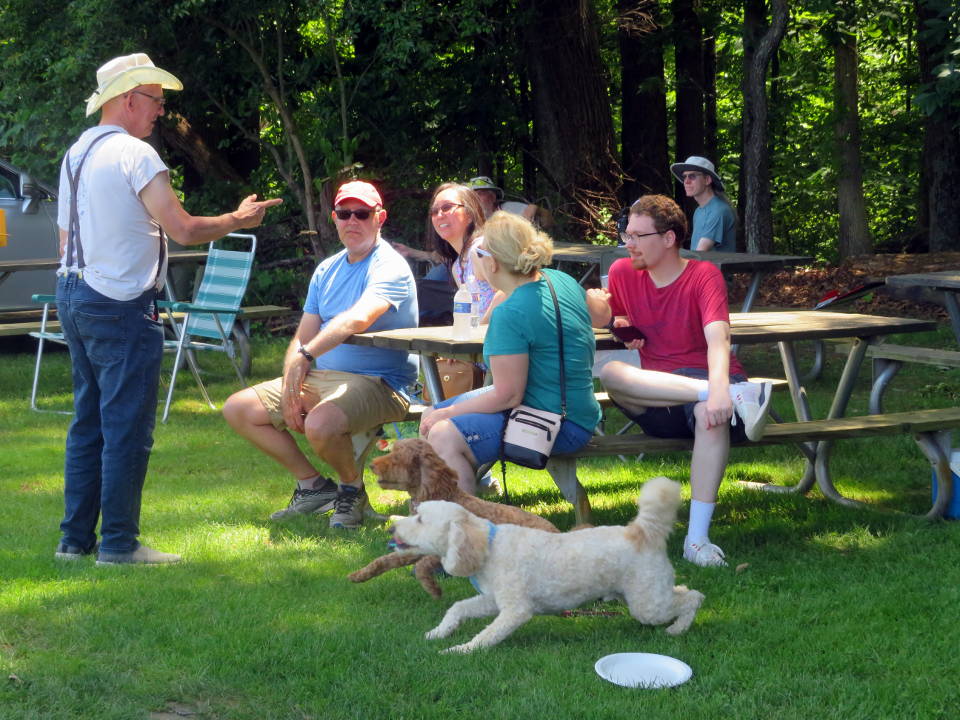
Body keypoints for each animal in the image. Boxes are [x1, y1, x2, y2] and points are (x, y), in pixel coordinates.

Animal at [390, 478, 704, 652]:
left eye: (420, 519)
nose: (392, 528)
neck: (489, 546)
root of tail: (642, 532)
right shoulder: (492, 600)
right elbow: (457, 608)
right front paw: (438, 633)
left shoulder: (515, 610)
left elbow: (485, 636)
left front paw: (460, 650)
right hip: (648, 592)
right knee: (683, 590)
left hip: (647, 606)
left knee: (694, 597)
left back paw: (678, 629)